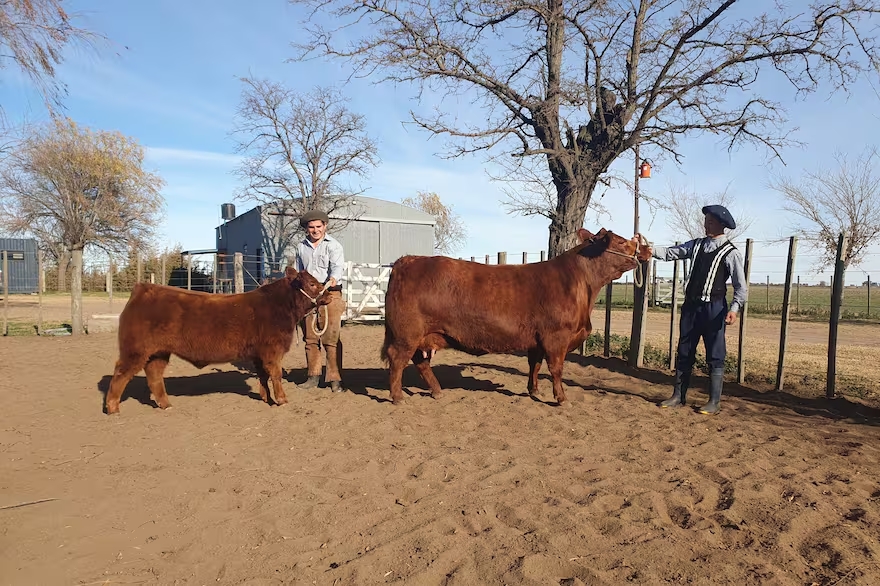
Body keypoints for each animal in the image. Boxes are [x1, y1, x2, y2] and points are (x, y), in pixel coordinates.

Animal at [104, 267, 330, 414]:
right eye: (312, 283)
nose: (328, 294)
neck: (279, 306)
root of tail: (142, 288)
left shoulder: (258, 354)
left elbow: (262, 376)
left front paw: (265, 397)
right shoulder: (272, 351)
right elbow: (275, 374)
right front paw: (282, 400)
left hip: (158, 352)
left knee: (154, 375)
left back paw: (165, 405)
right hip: (135, 350)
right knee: (120, 373)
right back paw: (112, 408)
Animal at [380, 228, 652, 405]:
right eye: (620, 242)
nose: (647, 248)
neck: (581, 284)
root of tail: (407, 260)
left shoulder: (537, 341)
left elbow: (535, 365)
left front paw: (534, 392)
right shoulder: (556, 337)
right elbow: (556, 369)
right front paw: (561, 398)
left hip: (418, 335)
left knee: (420, 362)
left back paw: (437, 392)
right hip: (407, 333)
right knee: (398, 359)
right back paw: (398, 397)